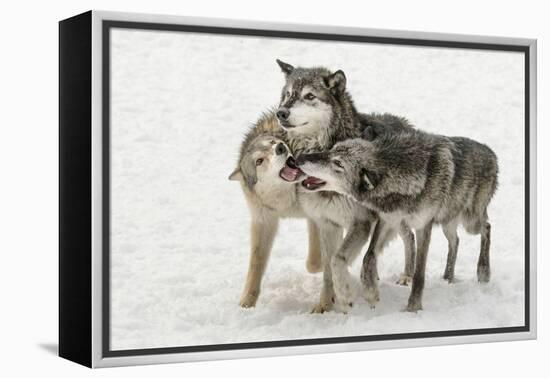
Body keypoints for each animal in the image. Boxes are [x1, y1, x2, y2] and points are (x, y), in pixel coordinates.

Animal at [229, 110, 324, 308]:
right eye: (259, 161)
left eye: (273, 143)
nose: (280, 147)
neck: (288, 203)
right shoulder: (264, 221)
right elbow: (256, 263)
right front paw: (247, 302)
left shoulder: (315, 214)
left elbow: (313, 263)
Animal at [276, 59, 418, 314]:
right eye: (288, 94)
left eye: (309, 96)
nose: (280, 112)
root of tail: (405, 123)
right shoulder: (327, 223)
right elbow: (327, 269)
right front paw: (324, 305)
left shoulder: (360, 222)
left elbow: (338, 260)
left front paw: (345, 296)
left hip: (390, 218)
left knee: (406, 237)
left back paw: (405, 277)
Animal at [298, 125, 500, 312]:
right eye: (332, 149)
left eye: (338, 163)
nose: (299, 159)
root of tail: (491, 153)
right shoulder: (387, 220)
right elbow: (368, 257)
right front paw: (371, 293)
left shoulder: (423, 226)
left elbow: (419, 274)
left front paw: (413, 308)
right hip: (445, 222)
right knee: (455, 240)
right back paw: (448, 277)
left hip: (470, 222)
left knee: (487, 227)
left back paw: (483, 272)